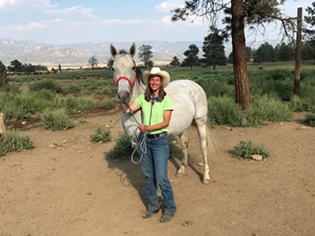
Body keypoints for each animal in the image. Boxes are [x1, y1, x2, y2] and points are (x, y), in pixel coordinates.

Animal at [110, 43, 216, 184]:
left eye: (132, 67)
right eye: (113, 68)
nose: (123, 95)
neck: (135, 111)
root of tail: (193, 83)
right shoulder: (137, 142)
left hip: (200, 122)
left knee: (203, 146)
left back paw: (206, 176)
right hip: (182, 126)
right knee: (185, 143)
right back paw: (182, 169)